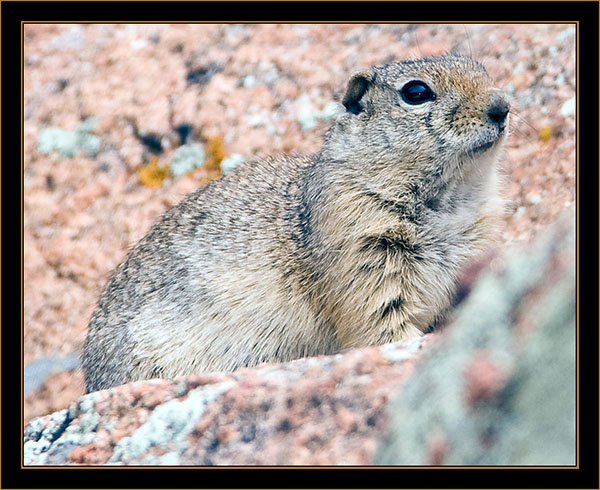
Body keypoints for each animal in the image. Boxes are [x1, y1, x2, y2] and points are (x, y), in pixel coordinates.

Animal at [82, 53, 508, 392]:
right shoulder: (365, 258)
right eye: (416, 92)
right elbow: (381, 328)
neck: (448, 202)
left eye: (482, 68)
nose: (501, 107)